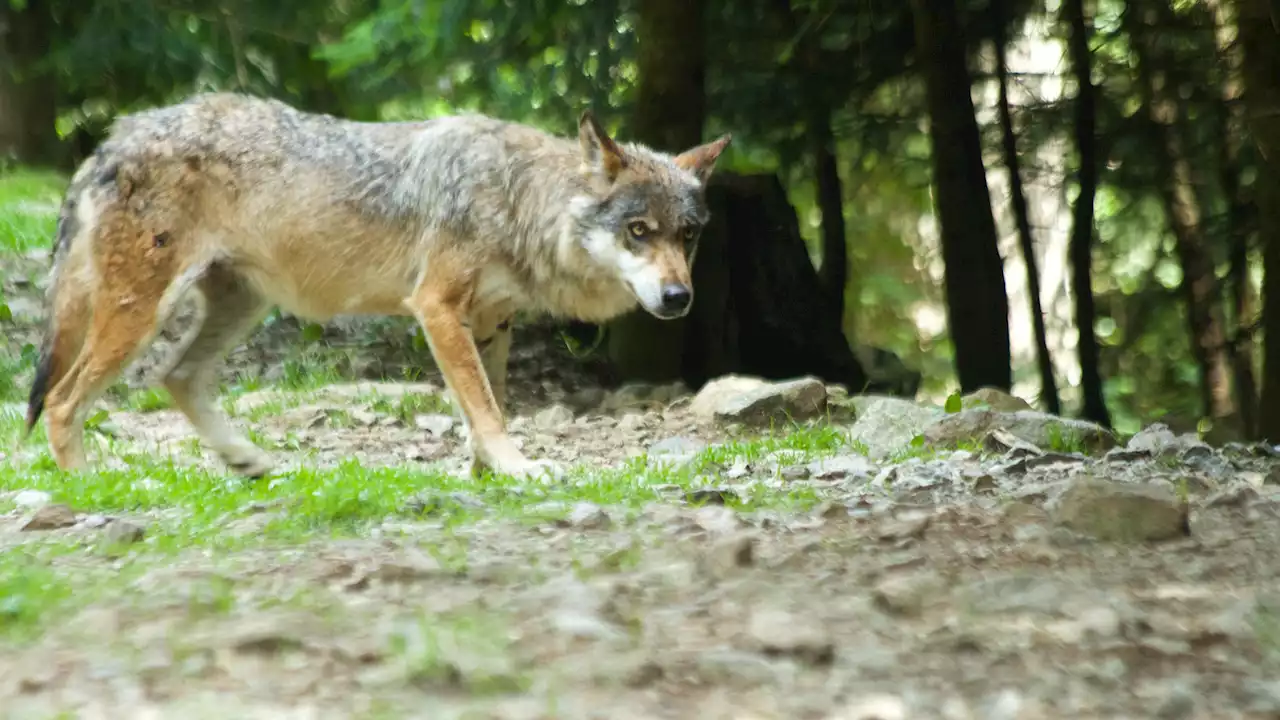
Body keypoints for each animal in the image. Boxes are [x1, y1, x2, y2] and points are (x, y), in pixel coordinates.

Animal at [22, 92, 732, 479]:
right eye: (638, 231)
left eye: (688, 236)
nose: (679, 299)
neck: (518, 201)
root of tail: (116, 135)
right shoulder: (438, 308)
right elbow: (486, 408)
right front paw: (520, 468)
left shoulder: (492, 321)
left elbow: (490, 406)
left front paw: (484, 474)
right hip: (139, 313)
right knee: (61, 401)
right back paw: (90, 488)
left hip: (240, 305)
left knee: (176, 378)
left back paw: (247, 462)